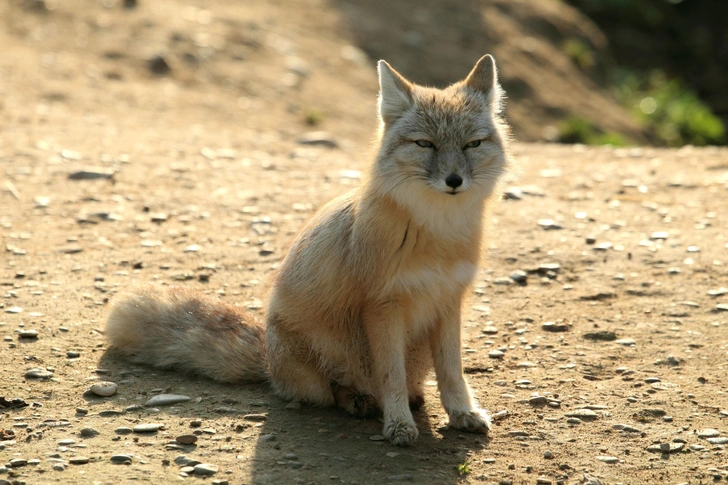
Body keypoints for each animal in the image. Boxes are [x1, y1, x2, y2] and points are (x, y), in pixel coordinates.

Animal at [106, 54, 512, 446]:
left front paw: (462, 413)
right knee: (332, 391)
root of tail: (269, 361)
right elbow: (390, 375)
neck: (436, 235)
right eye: (425, 144)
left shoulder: (448, 301)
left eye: (472, 144)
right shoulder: (383, 305)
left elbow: (452, 371)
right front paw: (398, 425)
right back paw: (360, 400)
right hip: (322, 360)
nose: (454, 180)